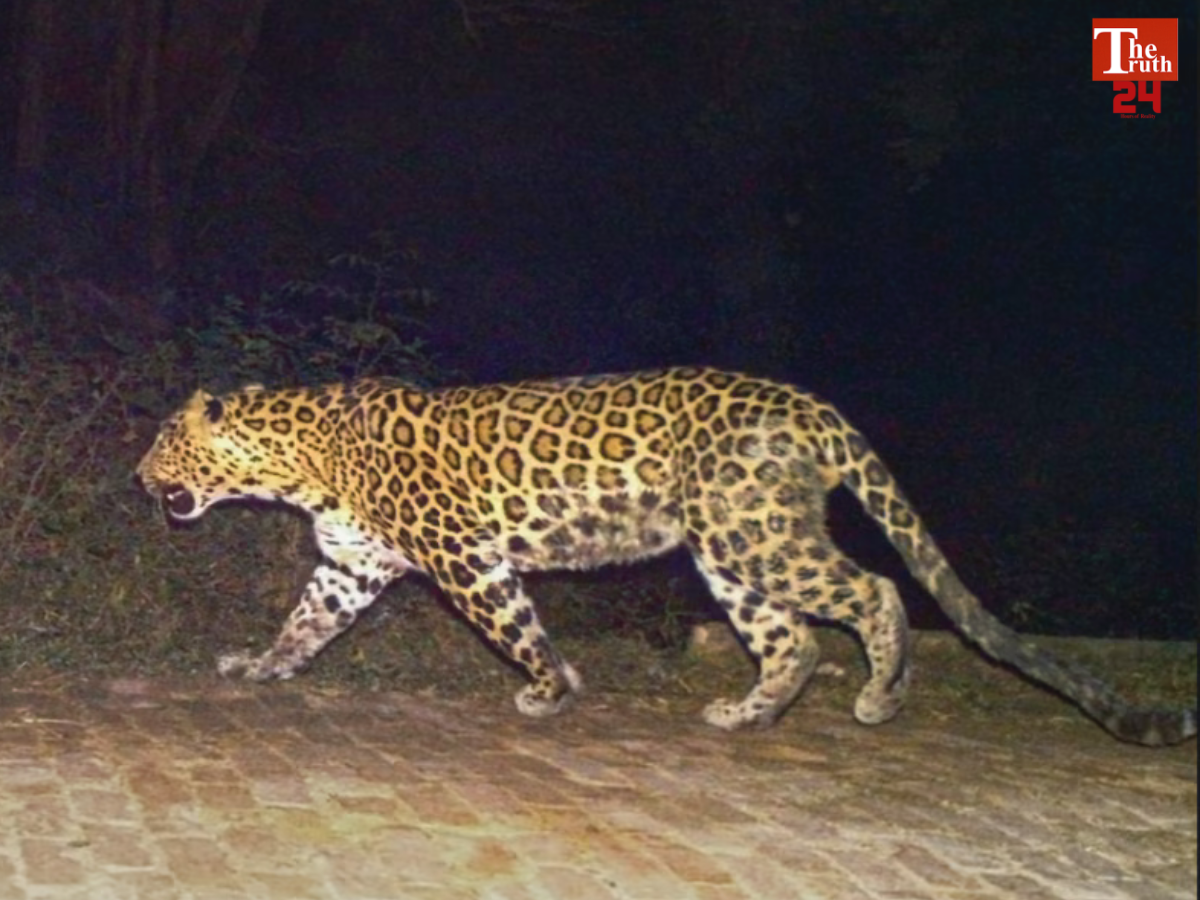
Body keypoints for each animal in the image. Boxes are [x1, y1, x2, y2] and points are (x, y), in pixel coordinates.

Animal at [136, 366, 1196, 746]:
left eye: (164, 443)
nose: (140, 477)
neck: (298, 462)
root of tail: (811, 405)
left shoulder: (463, 558)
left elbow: (513, 626)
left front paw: (550, 690)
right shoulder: (352, 567)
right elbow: (303, 624)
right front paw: (258, 666)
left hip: (753, 533)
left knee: (875, 590)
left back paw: (880, 697)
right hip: (728, 552)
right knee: (794, 641)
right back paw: (746, 714)